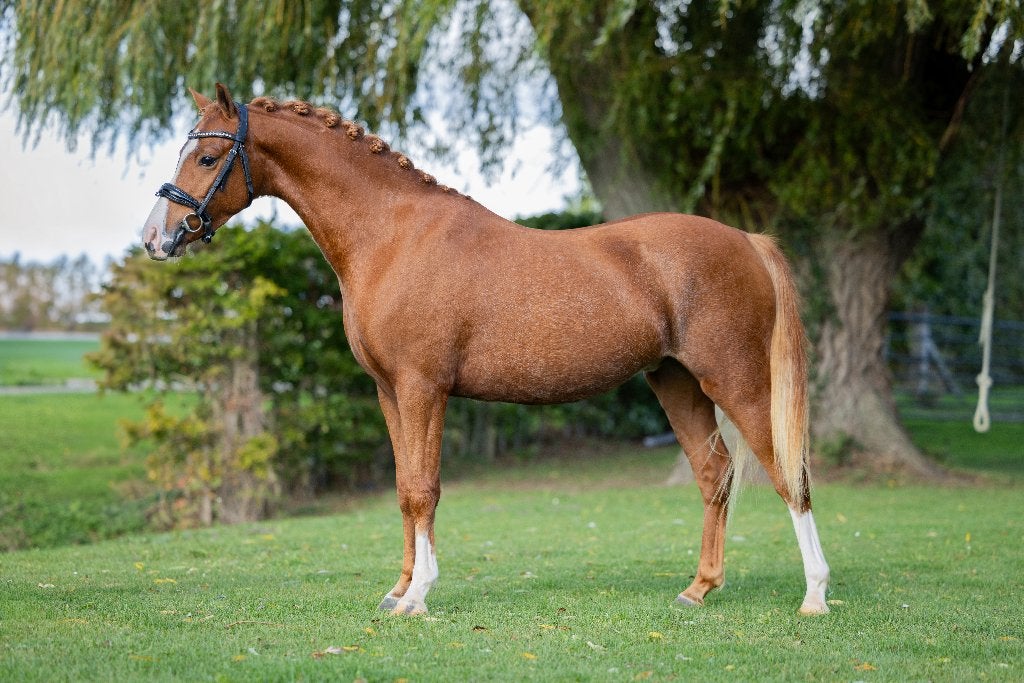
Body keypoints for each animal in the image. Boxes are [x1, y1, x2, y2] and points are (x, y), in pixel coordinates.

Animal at [143, 83, 830, 617]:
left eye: (207, 155)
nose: (155, 238)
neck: (392, 236)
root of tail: (745, 239)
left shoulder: (423, 387)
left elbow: (424, 489)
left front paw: (418, 597)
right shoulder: (389, 391)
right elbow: (403, 488)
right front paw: (397, 591)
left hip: (736, 380)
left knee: (786, 472)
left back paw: (815, 595)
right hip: (676, 381)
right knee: (716, 475)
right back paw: (697, 590)